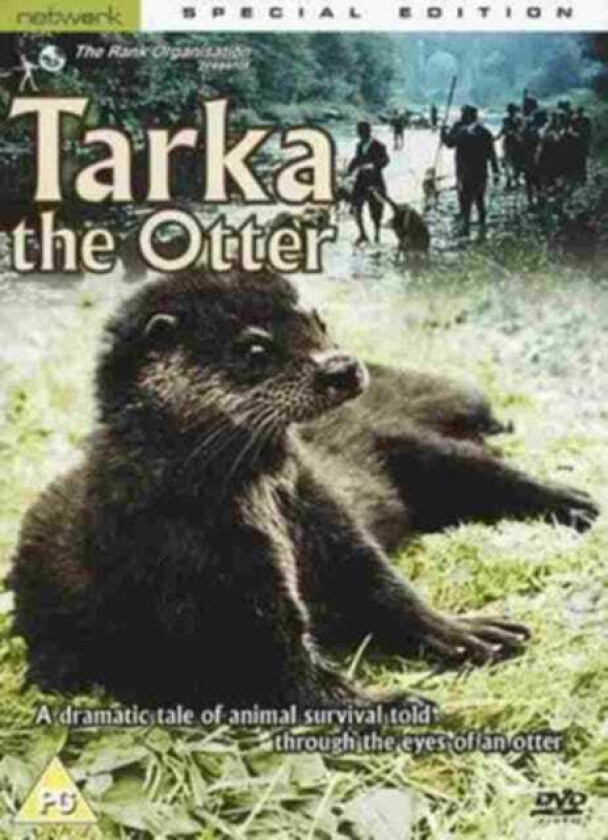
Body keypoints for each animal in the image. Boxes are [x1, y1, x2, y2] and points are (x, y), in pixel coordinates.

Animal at [10, 269, 598, 709]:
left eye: (318, 320)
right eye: (253, 348)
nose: (340, 366)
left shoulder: (321, 507)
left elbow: (377, 584)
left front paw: (464, 632)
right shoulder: (205, 575)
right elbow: (282, 673)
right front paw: (392, 703)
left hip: (408, 442)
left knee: (486, 468)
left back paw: (573, 501)